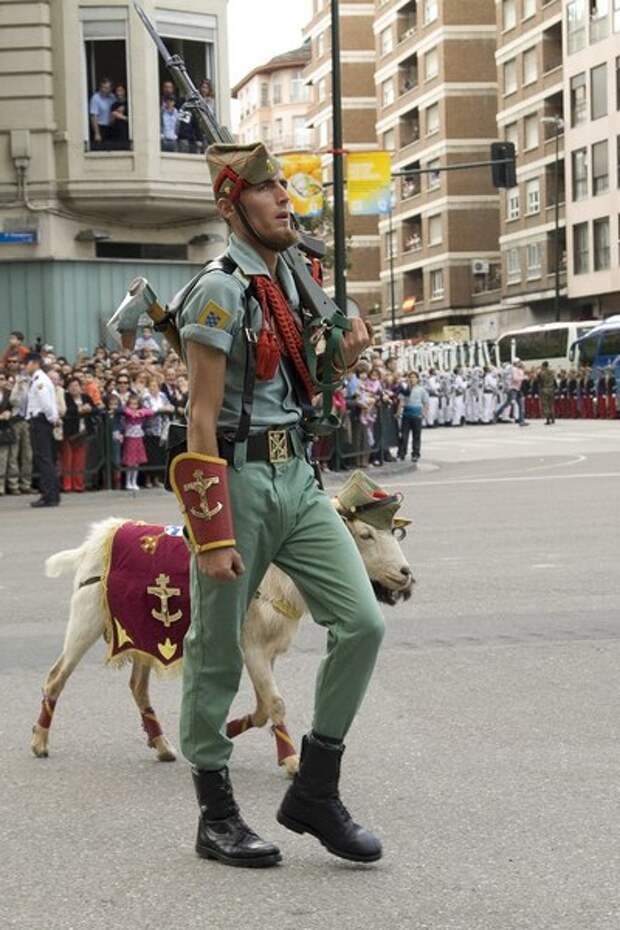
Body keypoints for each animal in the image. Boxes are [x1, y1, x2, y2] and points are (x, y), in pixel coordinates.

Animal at [31, 500, 414, 768]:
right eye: (365, 535)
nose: (405, 573)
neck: (278, 575)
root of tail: (97, 540)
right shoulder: (253, 648)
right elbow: (275, 703)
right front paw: (291, 761)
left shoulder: (265, 652)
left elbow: (263, 707)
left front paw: (230, 728)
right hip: (86, 620)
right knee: (55, 677)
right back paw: (40, 742)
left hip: (142, 632)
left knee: (137, 686)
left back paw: (163, 746)